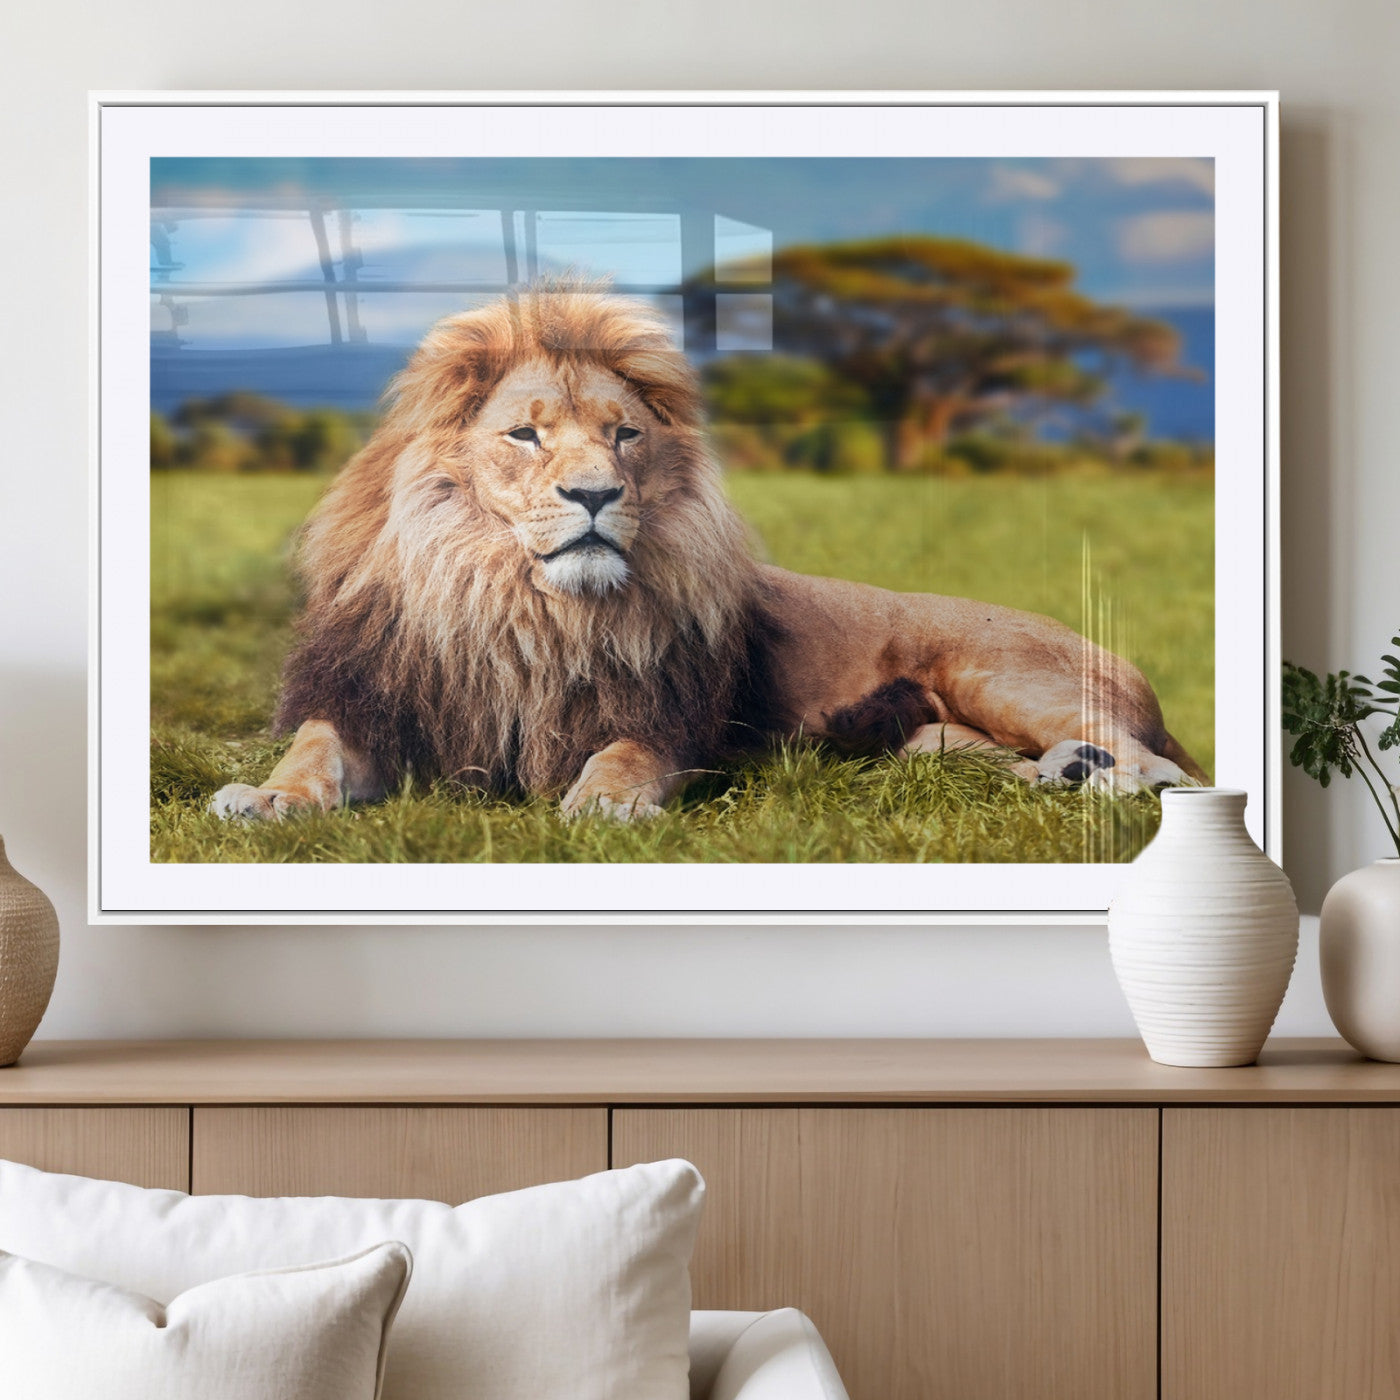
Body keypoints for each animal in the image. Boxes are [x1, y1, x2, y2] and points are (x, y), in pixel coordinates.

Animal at [210, 287, 1207, 826]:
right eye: (526, 436)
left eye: (624, 436)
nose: (595, 495)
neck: (520, 606)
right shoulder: (382, 702)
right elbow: (313, 750)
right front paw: (265, 798)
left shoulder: (665, 719)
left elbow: (623, 757)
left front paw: (605, 804)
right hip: (929, 742)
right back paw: (1065, 775)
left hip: (1000, 673)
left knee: (1163, 769)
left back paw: (1099, 777)